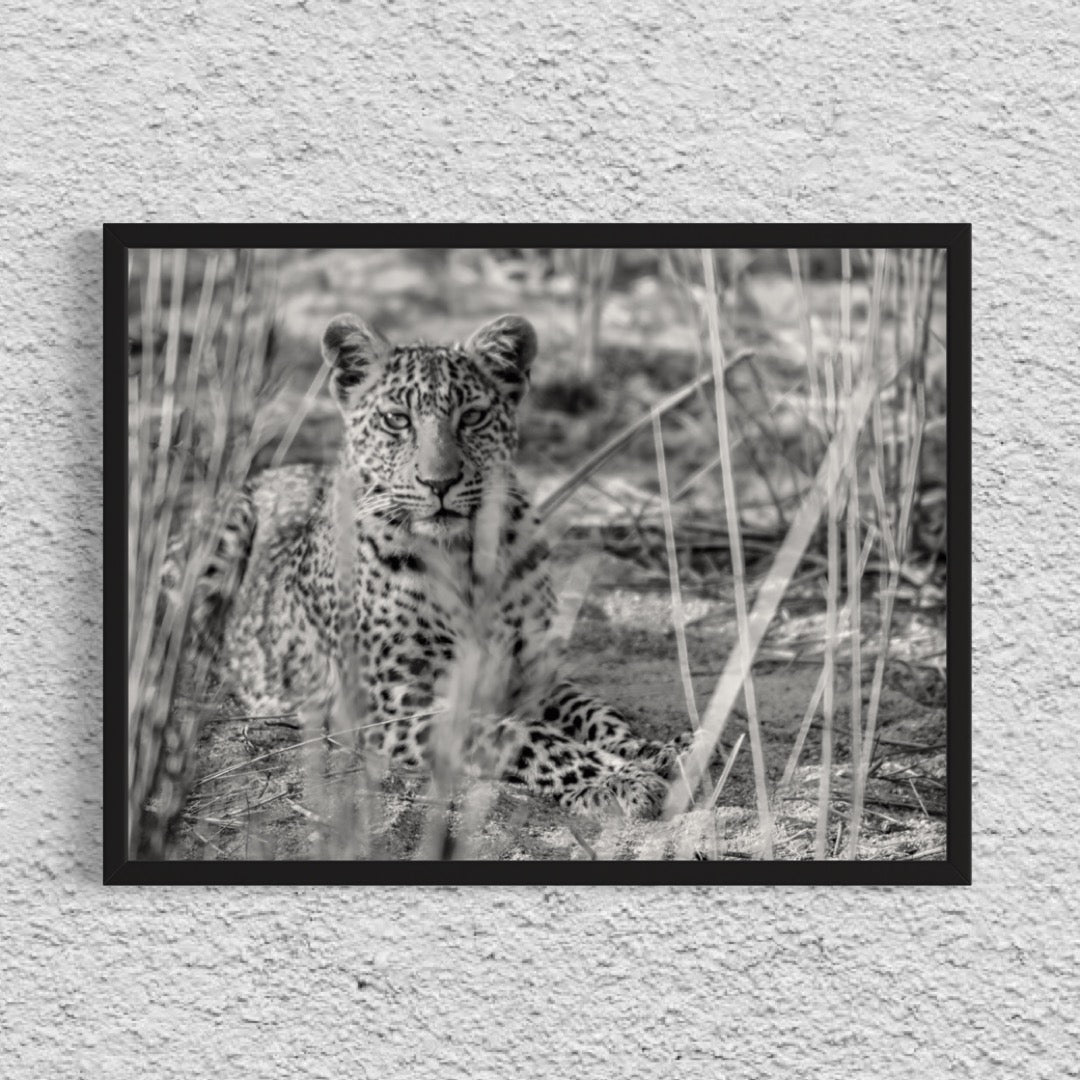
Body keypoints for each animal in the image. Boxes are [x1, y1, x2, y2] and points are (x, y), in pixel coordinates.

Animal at [169, 313, 688, 829]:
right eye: (397, 420)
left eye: (472, 417)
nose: (439, 483)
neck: (465, 558)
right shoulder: (395, 704)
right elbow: (524, 736)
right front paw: (616, 780)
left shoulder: (532, 674)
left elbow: (596, 712)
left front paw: (652, 749)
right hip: (226, 527)